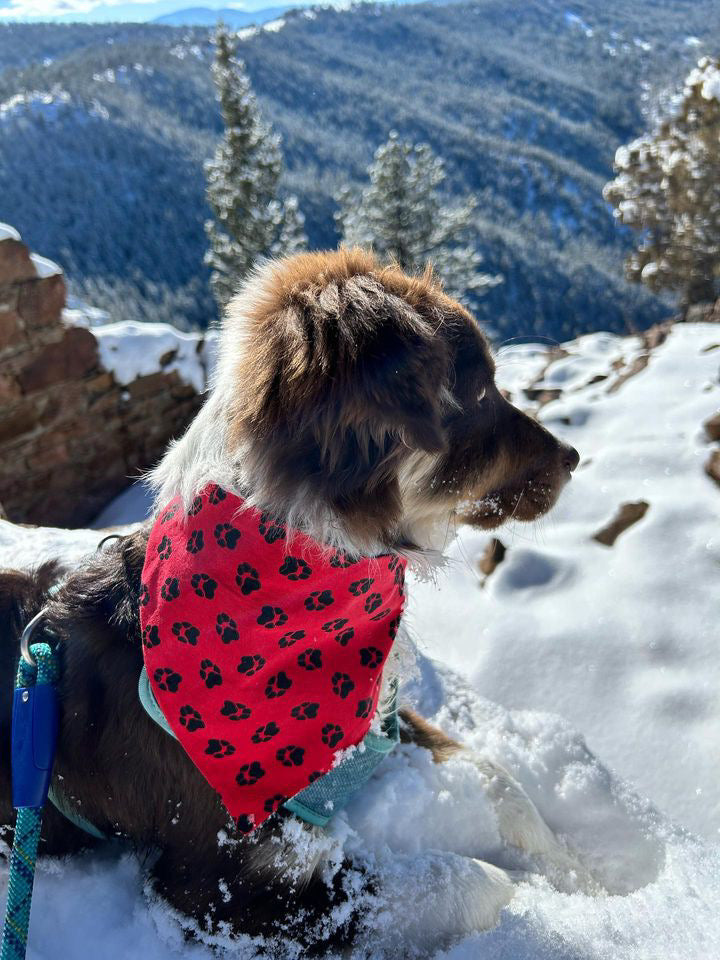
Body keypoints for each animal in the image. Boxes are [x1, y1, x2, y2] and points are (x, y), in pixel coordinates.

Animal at [0, 249, 580, 952]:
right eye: (477, 392)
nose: (574, 457)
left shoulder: (370, 722)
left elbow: (496, 775)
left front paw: (582, 871)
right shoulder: (218, 889)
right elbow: (461, 880)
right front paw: (545, 903)